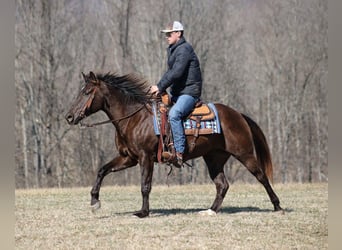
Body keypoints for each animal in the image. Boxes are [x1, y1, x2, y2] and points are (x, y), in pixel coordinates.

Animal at [65, 71, 284, 218]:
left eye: (87, 92)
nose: (69, 117)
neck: (134, 118)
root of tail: (238, 114)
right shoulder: (128, 158)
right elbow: (102, 170)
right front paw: (94, 201)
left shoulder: (145, 158)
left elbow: (145, 185)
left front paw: (143, 212)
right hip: (214, 158)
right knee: (222, 185)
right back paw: (210, 211)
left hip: (244, 154)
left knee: (261, 177)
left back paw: (278, 206)